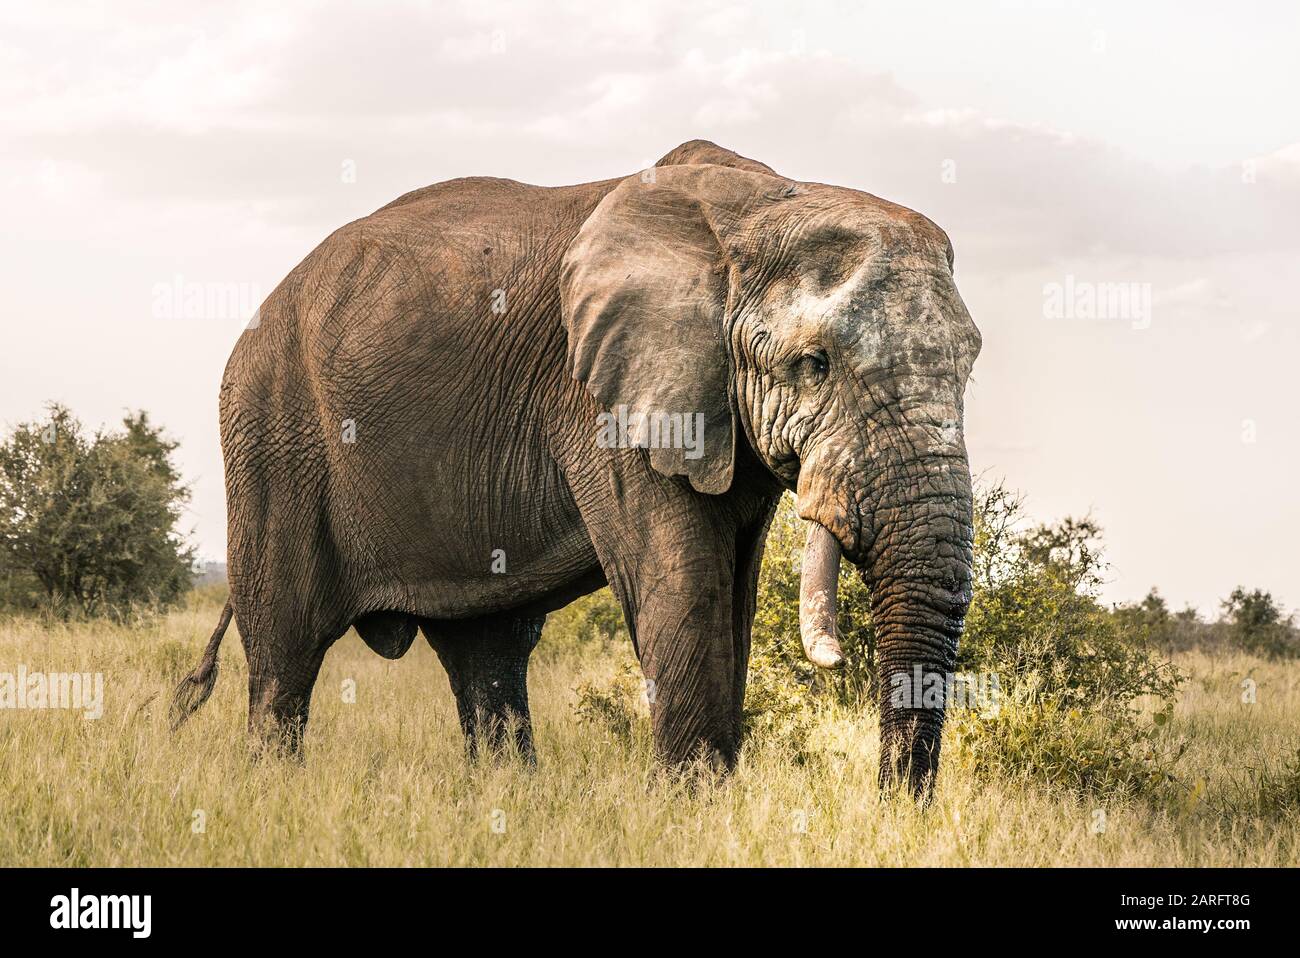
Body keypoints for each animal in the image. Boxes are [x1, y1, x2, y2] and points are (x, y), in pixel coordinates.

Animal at [175, 138, 982, 795]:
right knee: (284, 657)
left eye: (969, 365)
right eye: (813, 363)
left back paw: (507, 799)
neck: (757, 208)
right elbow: (685, 579)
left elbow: (735, 592)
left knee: (488, 654)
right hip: (271, 429)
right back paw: (274, 792)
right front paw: (690, 809)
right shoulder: (603, 398)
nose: (889, 803)